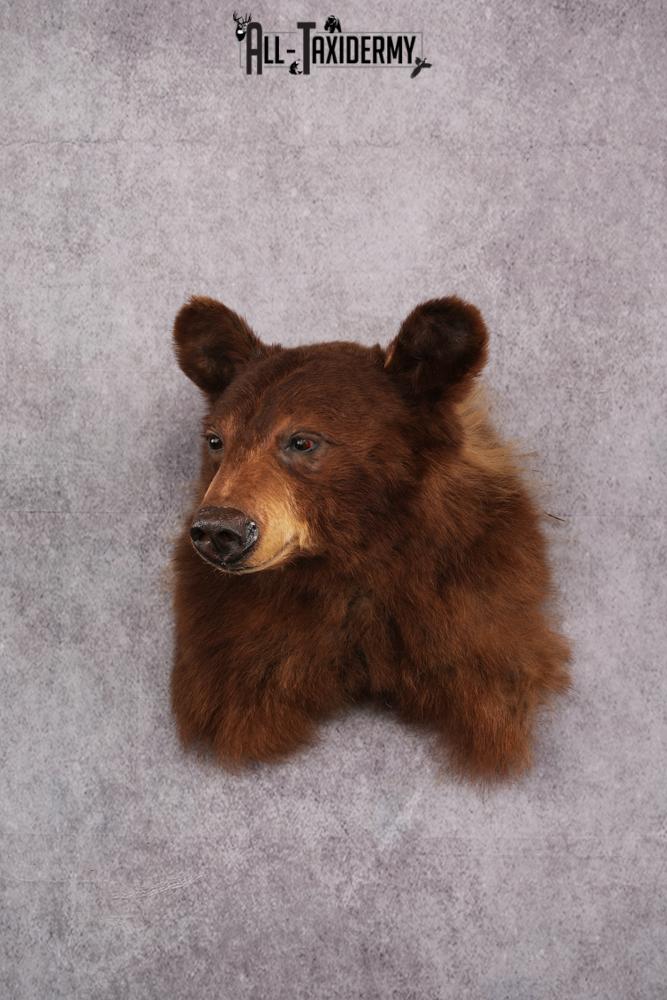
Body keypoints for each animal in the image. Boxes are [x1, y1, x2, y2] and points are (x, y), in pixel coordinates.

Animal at [170, 295, 571, 779]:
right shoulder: (232, 634)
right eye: (216, 440)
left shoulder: (476, 610)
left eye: (303, 441)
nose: (219, 528)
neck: (354, 558)